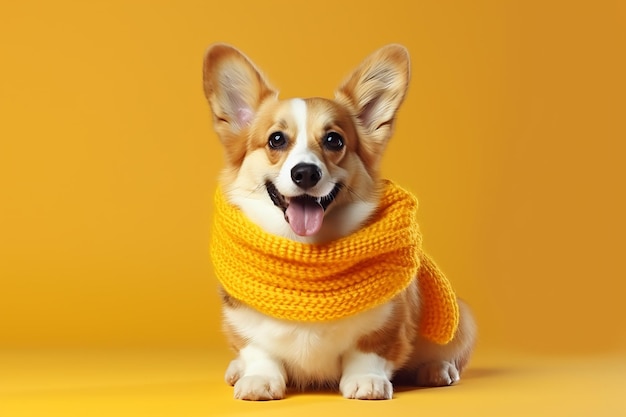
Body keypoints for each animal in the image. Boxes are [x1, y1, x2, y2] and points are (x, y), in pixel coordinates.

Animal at [202, 43, 476, 400]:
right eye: (276, 139)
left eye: (334, 140)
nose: (306, 173)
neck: (307, 255)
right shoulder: (243, 323)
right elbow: (259, 351)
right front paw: (258, 379)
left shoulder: (388, 323)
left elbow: (369, 351)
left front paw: (367, 381)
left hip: (461, 320)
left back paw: (437, 369)